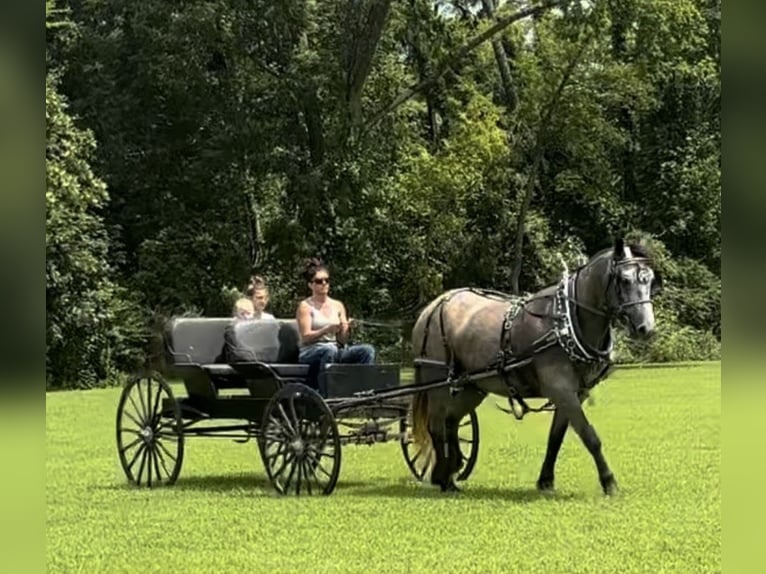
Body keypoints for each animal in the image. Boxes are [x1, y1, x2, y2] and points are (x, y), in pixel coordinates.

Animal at [412, 237, 664, 496]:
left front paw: (545, 481)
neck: (566, 322)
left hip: (471, 386)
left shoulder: (574, 393)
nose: (646, 328)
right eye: (624, 280)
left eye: (650, 280)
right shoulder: (561, 389)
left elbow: (556, 437)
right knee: (436, 425)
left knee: (451, 422)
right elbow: (589, 436)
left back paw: (450, 474)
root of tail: (432, 307)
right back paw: (443, 478)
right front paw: (609, 482)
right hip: (437, 381)